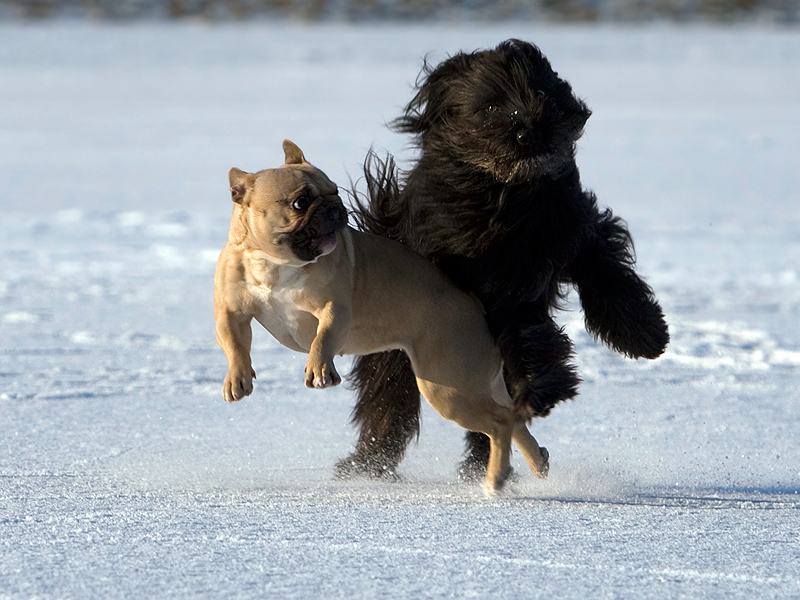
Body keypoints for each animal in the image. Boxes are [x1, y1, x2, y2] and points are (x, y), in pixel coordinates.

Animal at [338, 37, 668, 480]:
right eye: (492, 106)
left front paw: (647, 334)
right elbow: (527, 332)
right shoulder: (490, 287)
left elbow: (608, 274)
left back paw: (484, 462)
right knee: (390, 396)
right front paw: (547, 386)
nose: (529, 131)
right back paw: (368, 465)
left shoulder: (573, 230)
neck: (510, 195)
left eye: (542, 90)